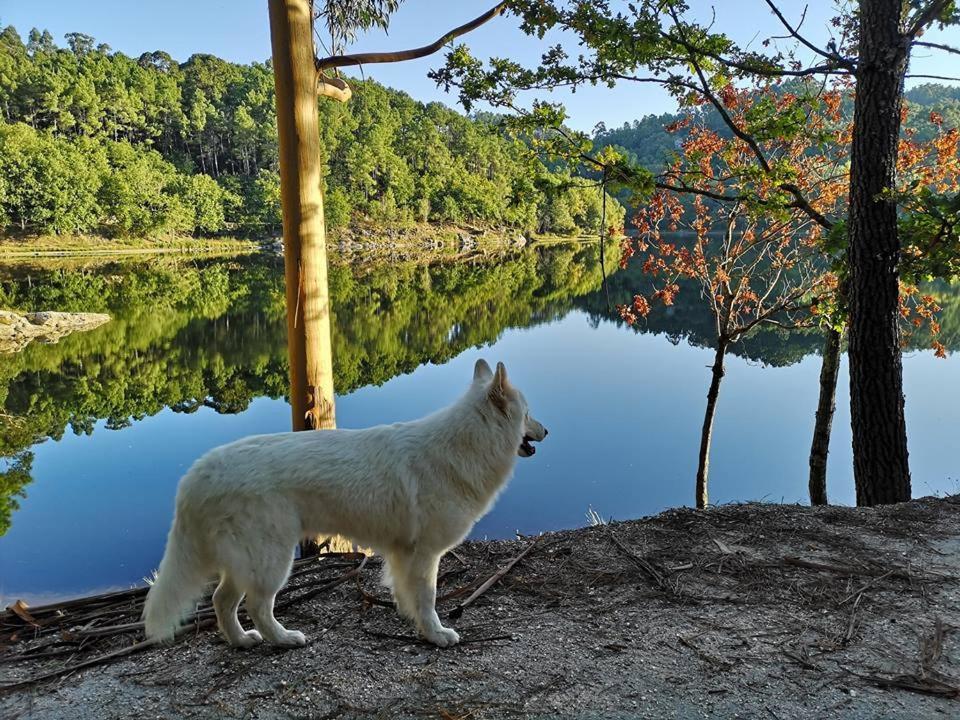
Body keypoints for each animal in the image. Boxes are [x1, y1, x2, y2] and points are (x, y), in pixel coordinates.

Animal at [143, 362, 548, 648]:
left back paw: (241, 641)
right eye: (528, 412)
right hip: (271, 559)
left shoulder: (403, 554)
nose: (547, 431)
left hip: (246, 561)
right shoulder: (425, 554)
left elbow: (409, 596)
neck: (464, 445)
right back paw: (283, 639)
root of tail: (198, 473)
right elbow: (429, 598)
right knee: (256, 606)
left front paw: (414, 623)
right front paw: (436, 634)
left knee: (221, 600)